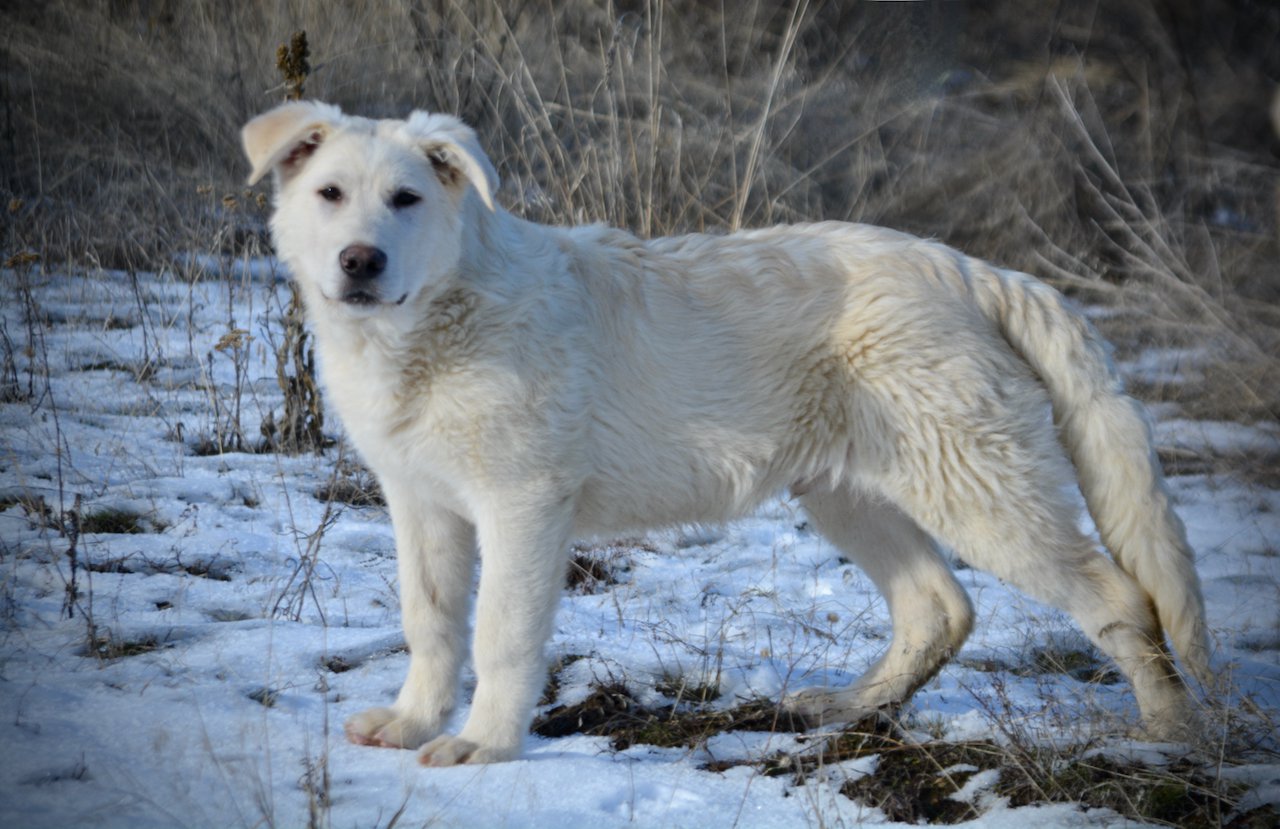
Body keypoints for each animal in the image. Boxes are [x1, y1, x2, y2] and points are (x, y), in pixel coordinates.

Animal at [241, 100, 1208, 767]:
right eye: (329, 195)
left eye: (406, 199)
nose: (360, 262)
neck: (434, 322)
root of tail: (971, 268)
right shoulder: (422, 502)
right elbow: (432, 620)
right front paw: (413, 723)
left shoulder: (523, 504)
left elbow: (502, 634)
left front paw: (484, 747)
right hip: (852, 491)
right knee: (940, 607)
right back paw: (845, 708)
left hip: (976, 490)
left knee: (1122, 598)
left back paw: (1168, 740)